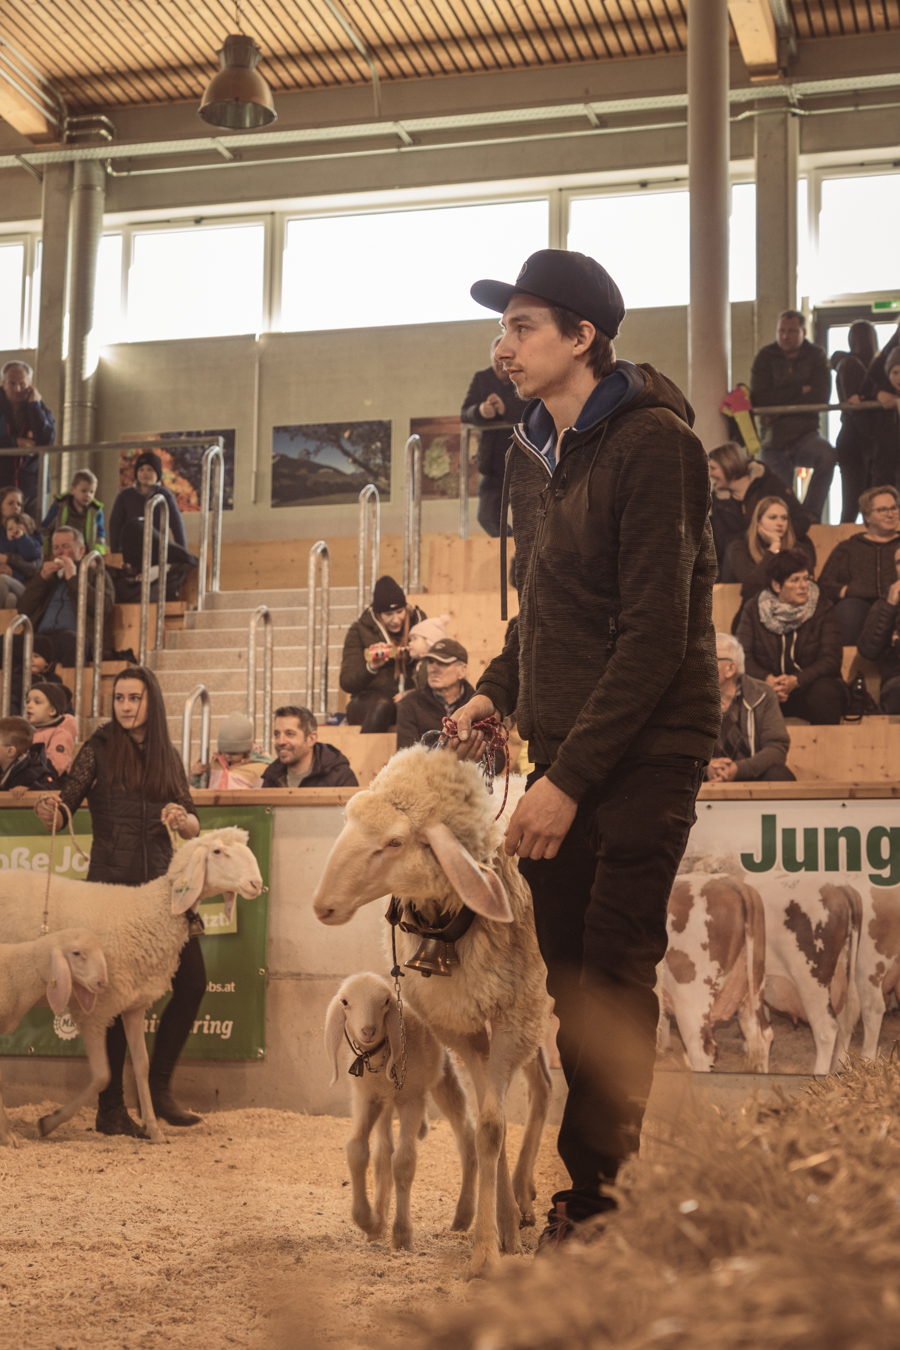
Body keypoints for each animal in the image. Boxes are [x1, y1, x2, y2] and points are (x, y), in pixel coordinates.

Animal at [325, 972, 478, 1251]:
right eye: (345, 1002)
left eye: (385, 1002)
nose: (368, 1031)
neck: (380, 1059)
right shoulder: (368, 1098)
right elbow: (358, 1150)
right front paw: (369, 1222)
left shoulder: (412, 1099)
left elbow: (404, 1161)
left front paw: (402, 1235)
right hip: (386, 1105)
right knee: (383, 1154)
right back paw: (378, 1222)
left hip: (442, 1075)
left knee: (467, 1138)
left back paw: (463, 1216)